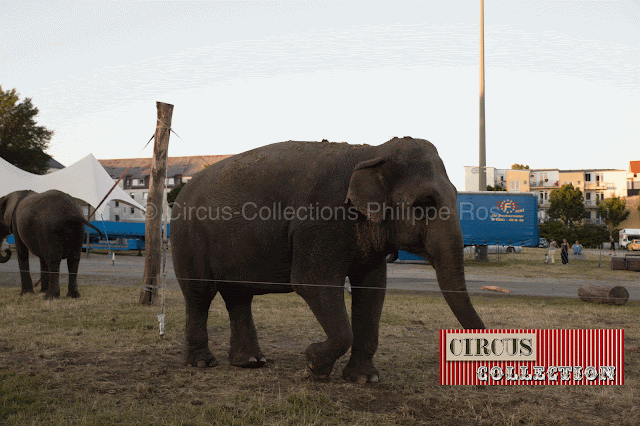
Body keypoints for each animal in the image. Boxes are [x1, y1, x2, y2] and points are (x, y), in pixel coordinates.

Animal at [170, 136, 484, 382]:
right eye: (424, 205)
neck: (372, 151)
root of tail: (181, 193)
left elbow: (372, 290)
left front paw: (364, 378)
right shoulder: (321, 223)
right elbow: (313, 284)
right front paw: (312, 364)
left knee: (238, 296)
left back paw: (249, 362)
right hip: (188, 238)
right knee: (199, 294)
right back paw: (202, 363)